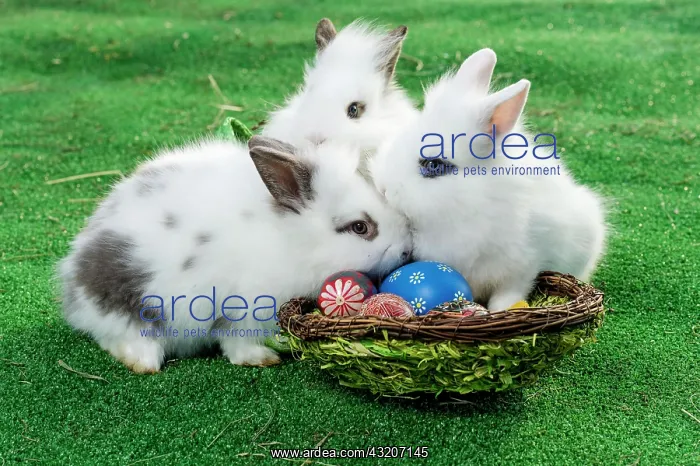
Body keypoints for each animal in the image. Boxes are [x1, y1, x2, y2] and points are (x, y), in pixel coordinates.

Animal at [58, 136, 413, 373]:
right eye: (360, 227)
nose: (407, 249)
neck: (294, 240)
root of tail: (73, 283)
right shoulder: (244, 308)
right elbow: (237, 340)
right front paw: (261, 359)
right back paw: (143, 361)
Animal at [370, 48, 607, 311]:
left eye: (433, 165)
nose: (383, 187)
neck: (474, 201)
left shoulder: (522, 267)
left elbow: (509, 294)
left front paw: (497, 311)